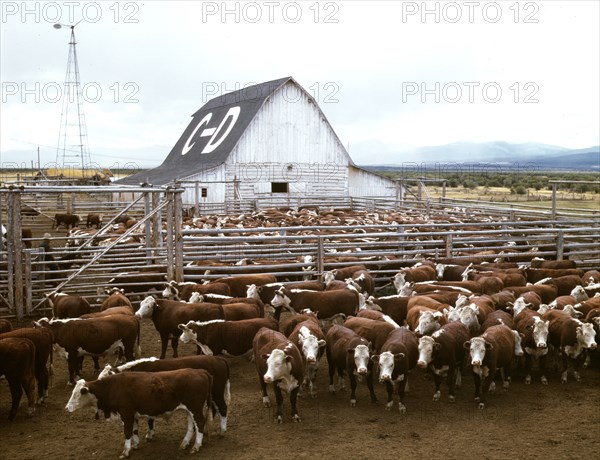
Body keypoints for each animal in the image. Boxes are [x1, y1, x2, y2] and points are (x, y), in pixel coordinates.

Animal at [66, 368, 213, 458]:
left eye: (77, 394)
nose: (67, 408)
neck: (113, 387)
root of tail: (200, 371)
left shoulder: (126, 414)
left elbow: (127, 432)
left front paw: (125, 452)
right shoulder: (133, 414)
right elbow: (134, 431)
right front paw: (135, 445)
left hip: (195, 408)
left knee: (200, 424)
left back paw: (196, 446)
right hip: (190, 410)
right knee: (191, 425)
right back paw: (185, 444)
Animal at [98, 356, 230, 434]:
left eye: (105, 382)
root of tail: (218, 359)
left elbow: (150, 419)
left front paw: (150, 434)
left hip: (217, 392)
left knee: (223, 407)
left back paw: (222, 430)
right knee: (215, 409)